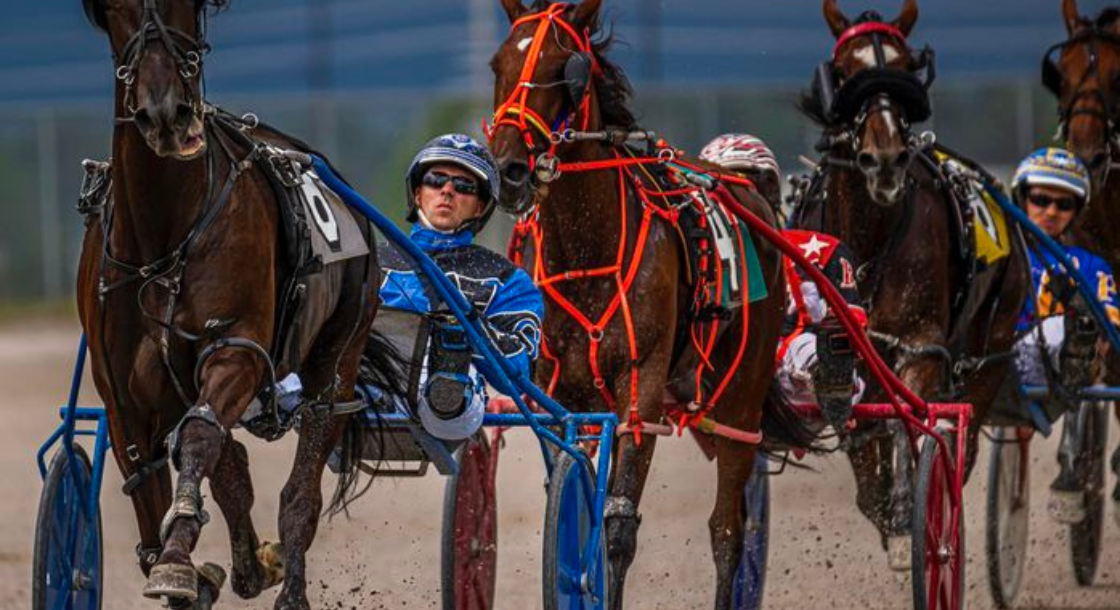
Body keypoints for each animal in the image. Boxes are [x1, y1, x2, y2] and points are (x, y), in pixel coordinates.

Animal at [490, 2, 797, 604]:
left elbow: (616, 528)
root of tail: (749, 189)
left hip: (741, 394)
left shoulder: (641, 390)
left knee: (728, 528)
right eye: (498, 63)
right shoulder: (561, 389)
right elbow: (572, 500)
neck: (589, 252)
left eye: (567, 68)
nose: (509, 168)